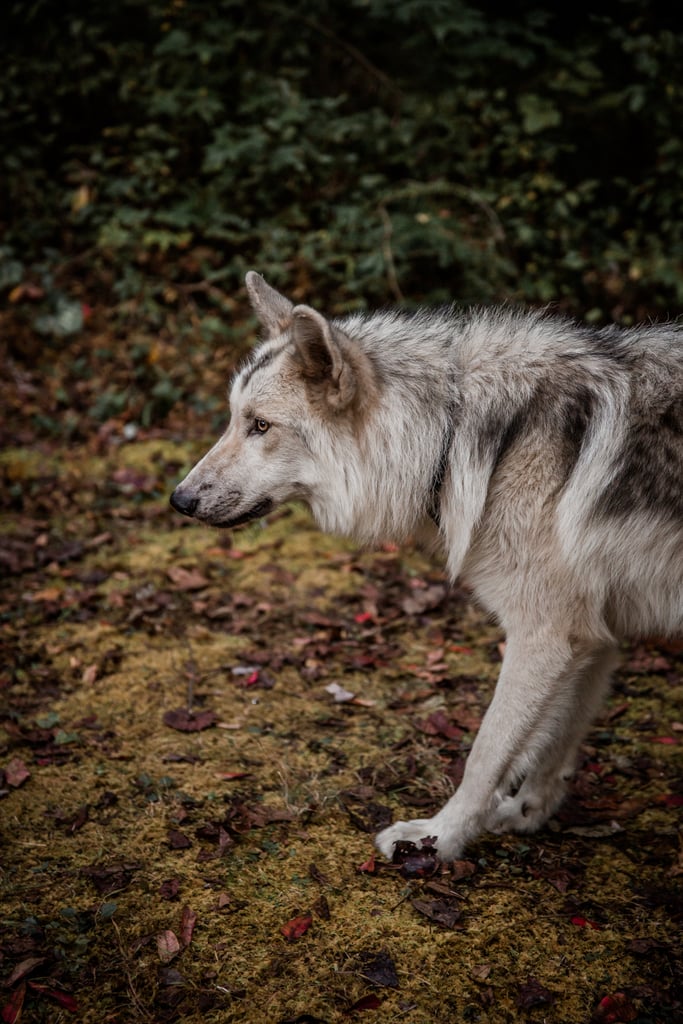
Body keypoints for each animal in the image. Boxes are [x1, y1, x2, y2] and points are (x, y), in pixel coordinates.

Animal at [171, 274, 683, 864]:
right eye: (236, 420)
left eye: (260, 426)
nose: (178, 499)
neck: (452, 433)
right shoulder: (594, 638)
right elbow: (556, 743)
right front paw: (528, 814)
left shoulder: (546, 635)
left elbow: (486, 753)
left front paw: (438, 839)